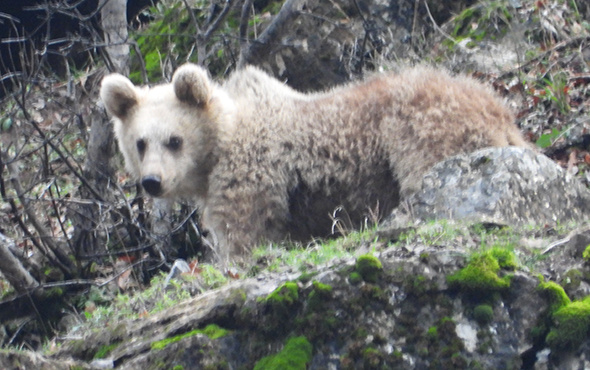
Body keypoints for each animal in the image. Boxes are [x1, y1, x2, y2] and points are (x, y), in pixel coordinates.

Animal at [99, 65, 528, 264]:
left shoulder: (250, 178)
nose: (152, 181)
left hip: (419, 129)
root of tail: (501, 112)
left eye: (175, 139)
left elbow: (245, 236)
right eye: (140, 143)